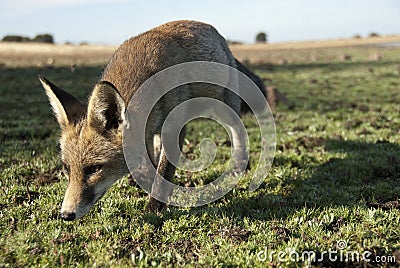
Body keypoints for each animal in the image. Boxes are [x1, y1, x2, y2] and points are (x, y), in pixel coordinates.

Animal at [39, 19, 268, 221]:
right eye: (66, 168)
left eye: (95, 169)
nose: (66, 215)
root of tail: (217, 34)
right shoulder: (150, 133)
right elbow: (147, 168)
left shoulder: (175, 129)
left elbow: (163, 173)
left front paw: (153, 208)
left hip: (224, 108)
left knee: (238, 130)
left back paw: (240, 164)